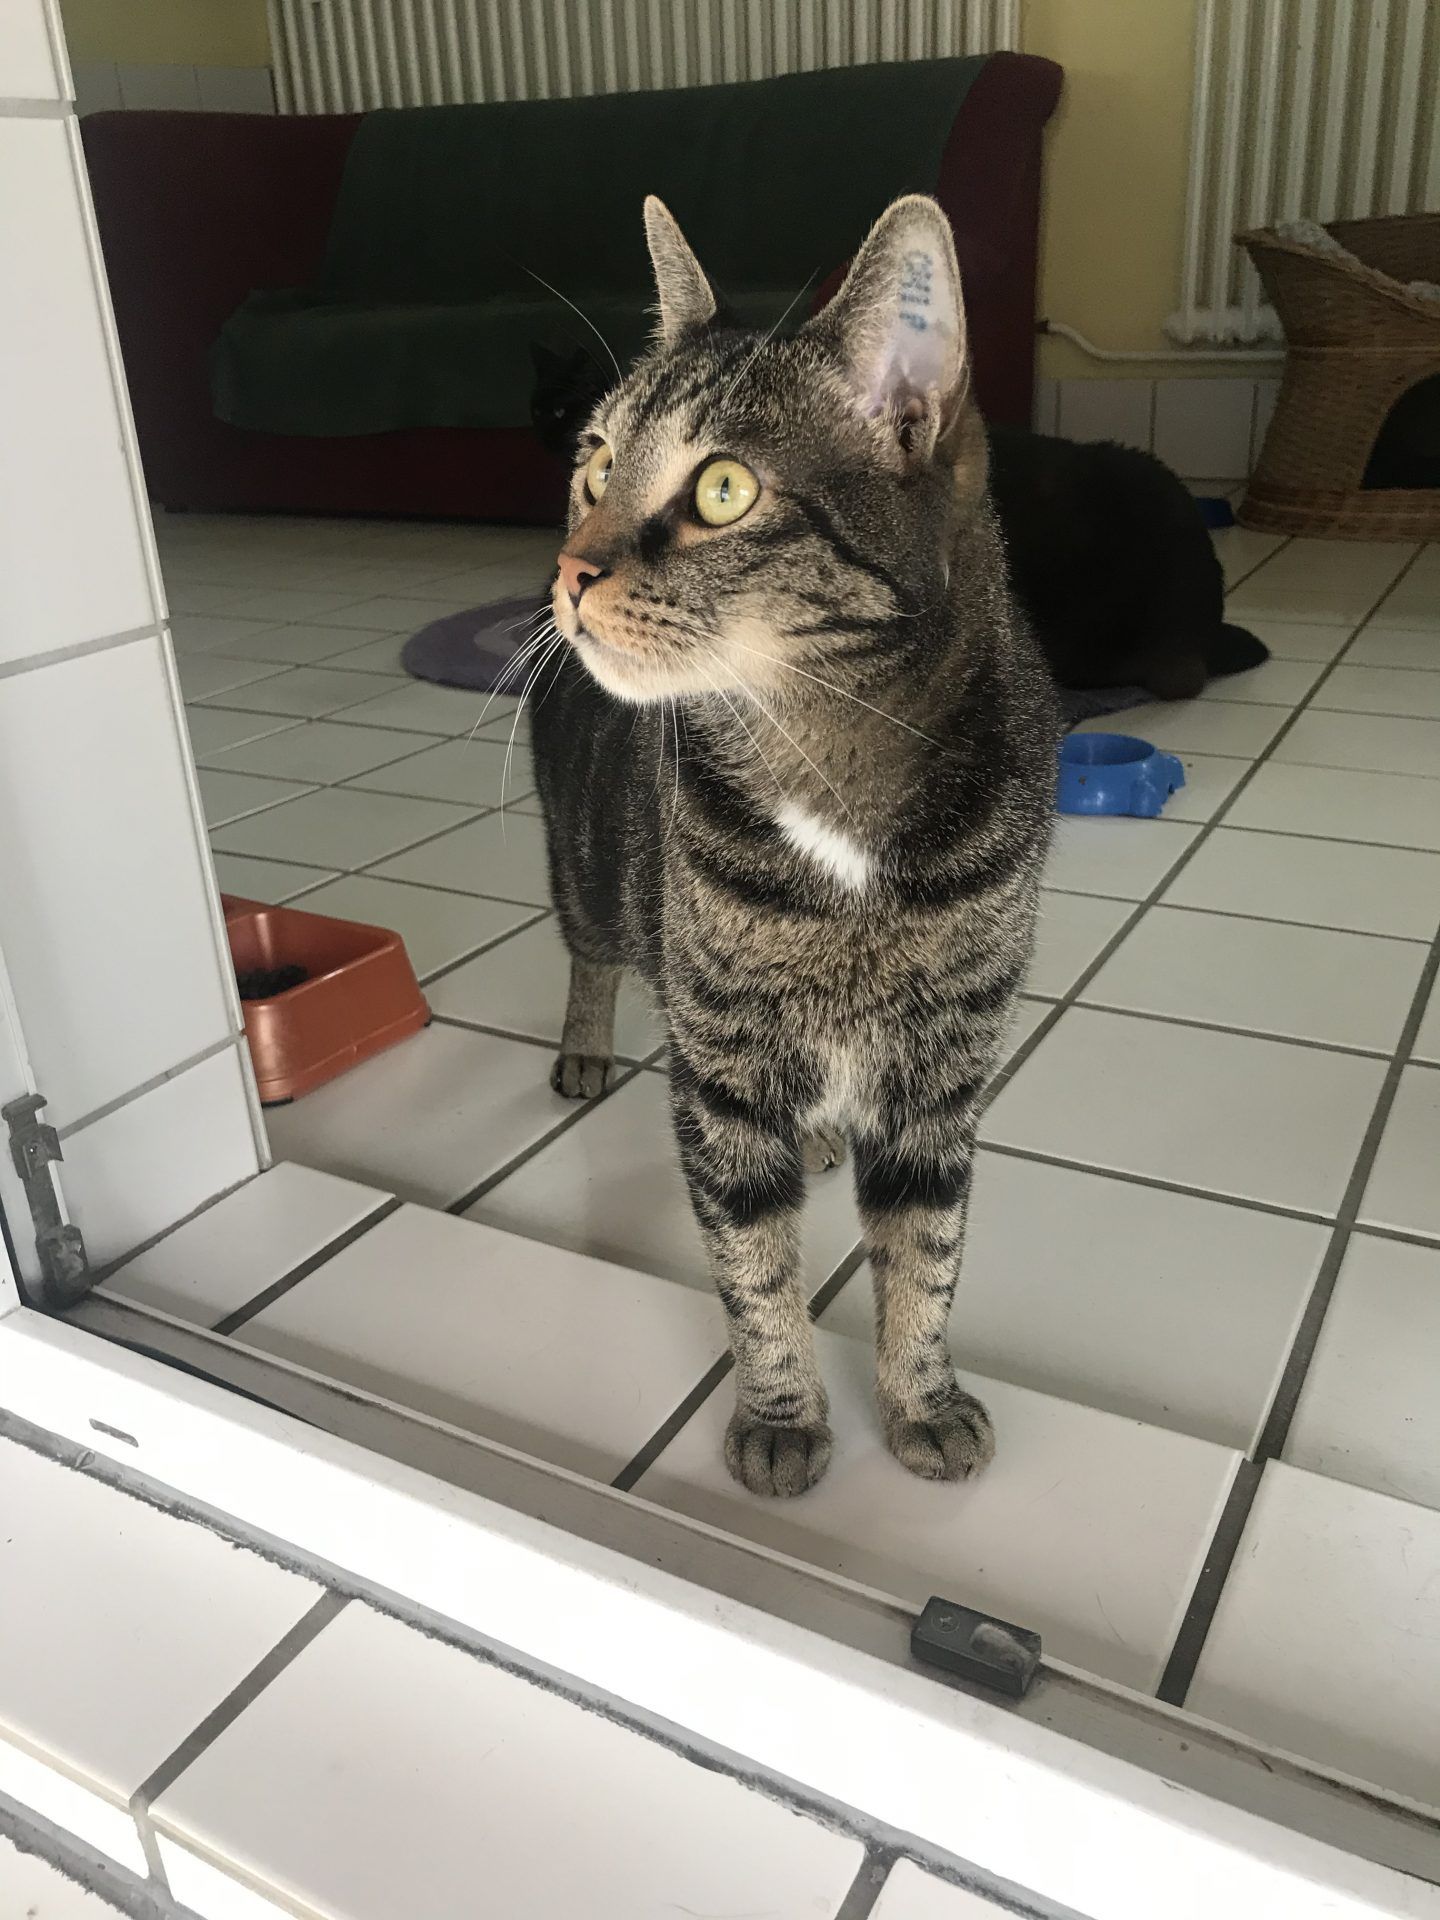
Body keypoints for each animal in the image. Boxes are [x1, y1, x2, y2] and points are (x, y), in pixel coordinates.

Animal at [529, 194, 1057, 1498]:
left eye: (723, 489)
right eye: (596, 461)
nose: (569, 570)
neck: (833, 771)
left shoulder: (943, 1072)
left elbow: (925, 1251)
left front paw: (921, 1399)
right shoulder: (719, 1069)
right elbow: (753, 1266)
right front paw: (780, 1418)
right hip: (589, 877)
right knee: (592, 956)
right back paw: (584, 1048)